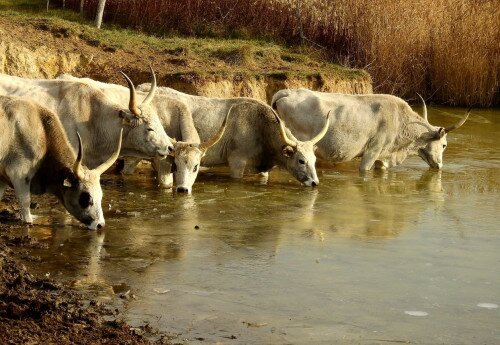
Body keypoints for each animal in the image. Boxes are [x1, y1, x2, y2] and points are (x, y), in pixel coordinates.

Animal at [0, 95, 121, 228]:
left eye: (100, 196)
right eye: (86, 198)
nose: (100, 224)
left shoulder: (2, 179)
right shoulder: (19, 176)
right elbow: (26, 210)